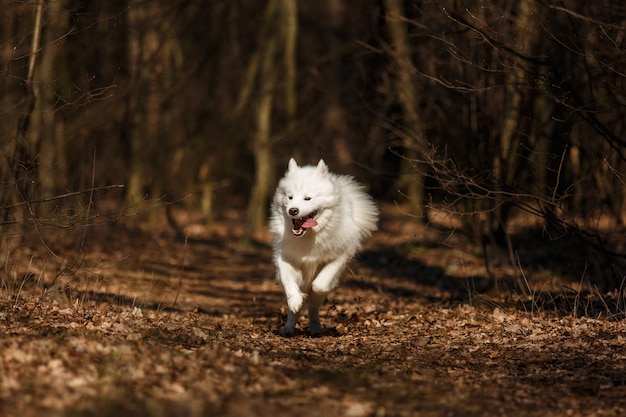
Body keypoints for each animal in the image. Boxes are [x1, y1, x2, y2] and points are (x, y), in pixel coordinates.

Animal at [266, 157, 376, 334]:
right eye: (290, 197)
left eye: (308, 198)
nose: (293, 210)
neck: (310, 237)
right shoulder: (285, 258)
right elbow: (289, 283)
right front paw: (295, 300)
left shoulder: (341, 255)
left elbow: (320, 284)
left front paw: (319, 288)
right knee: (295, 309)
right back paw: (288, 328)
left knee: (313, 306)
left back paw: (316, 328)